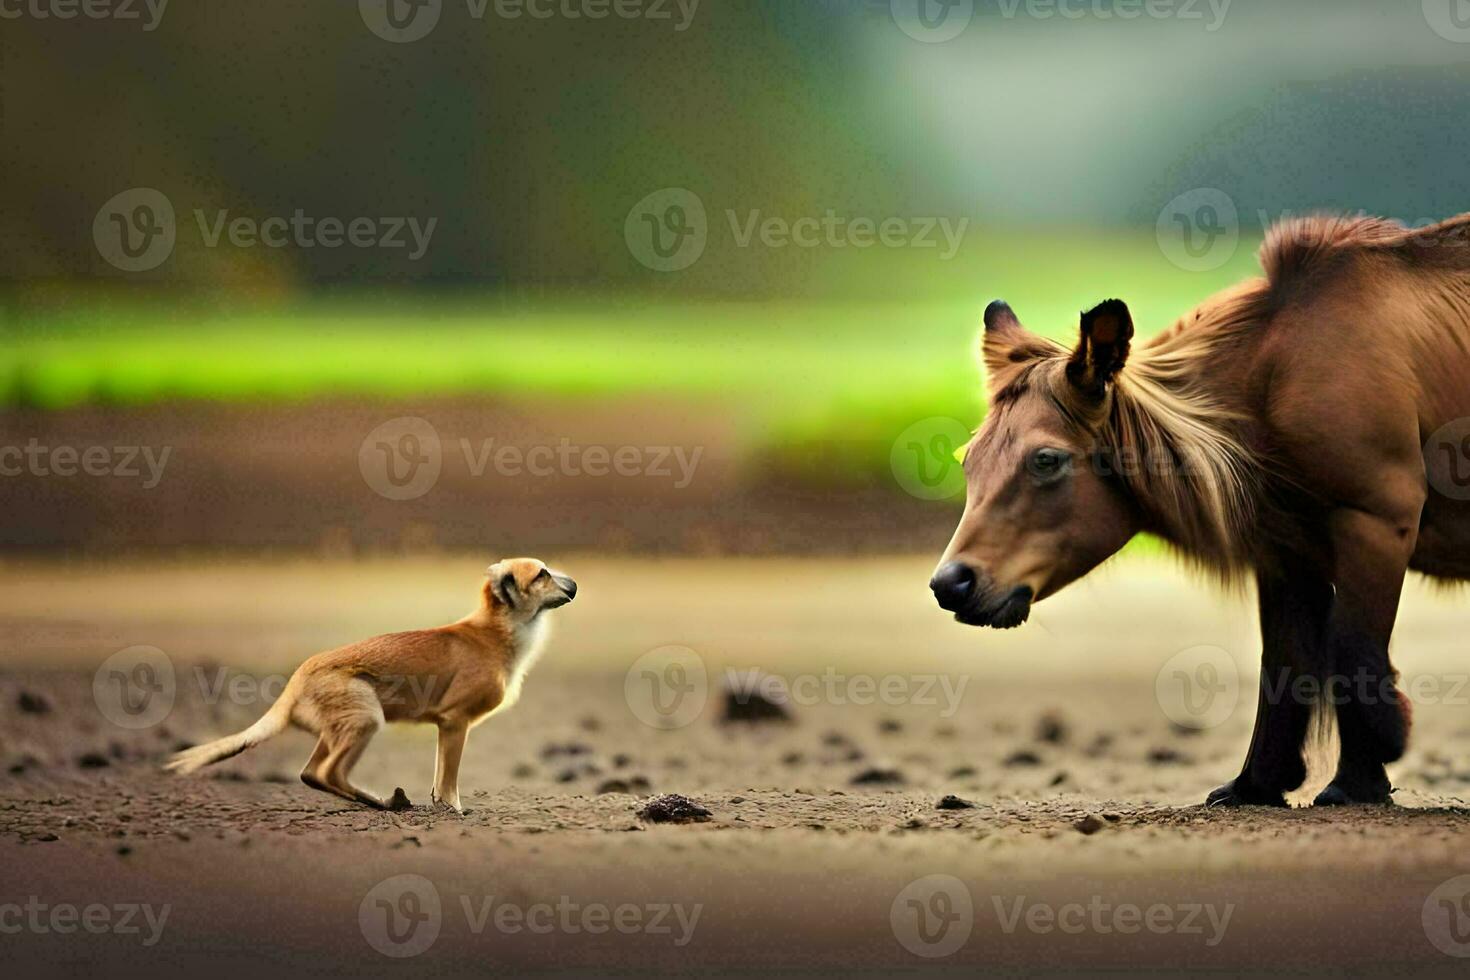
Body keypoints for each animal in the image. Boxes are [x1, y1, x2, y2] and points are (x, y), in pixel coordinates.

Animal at [163, 558, 570, 811]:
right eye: (541, 575)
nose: (574, 586)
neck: (496, 632)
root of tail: (297, 678)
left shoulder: (447, 725)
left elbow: (439, 775)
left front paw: (438, 804)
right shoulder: (455, 720)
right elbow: (449, 777)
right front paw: (453, 810)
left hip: (338, 726)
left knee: (310, 772)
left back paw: (379, 801)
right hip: (366, 716)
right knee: (326, 771)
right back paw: (384, 803)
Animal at [934, 218, 1470, 811]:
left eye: (1046, 459)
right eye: (968, 459)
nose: (951, 583)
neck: (1266, 394)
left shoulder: (1377, 514)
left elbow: (1351, 647)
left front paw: (1360, 777)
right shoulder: (1287, 549)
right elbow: (1285, 663)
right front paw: (1259, 782)